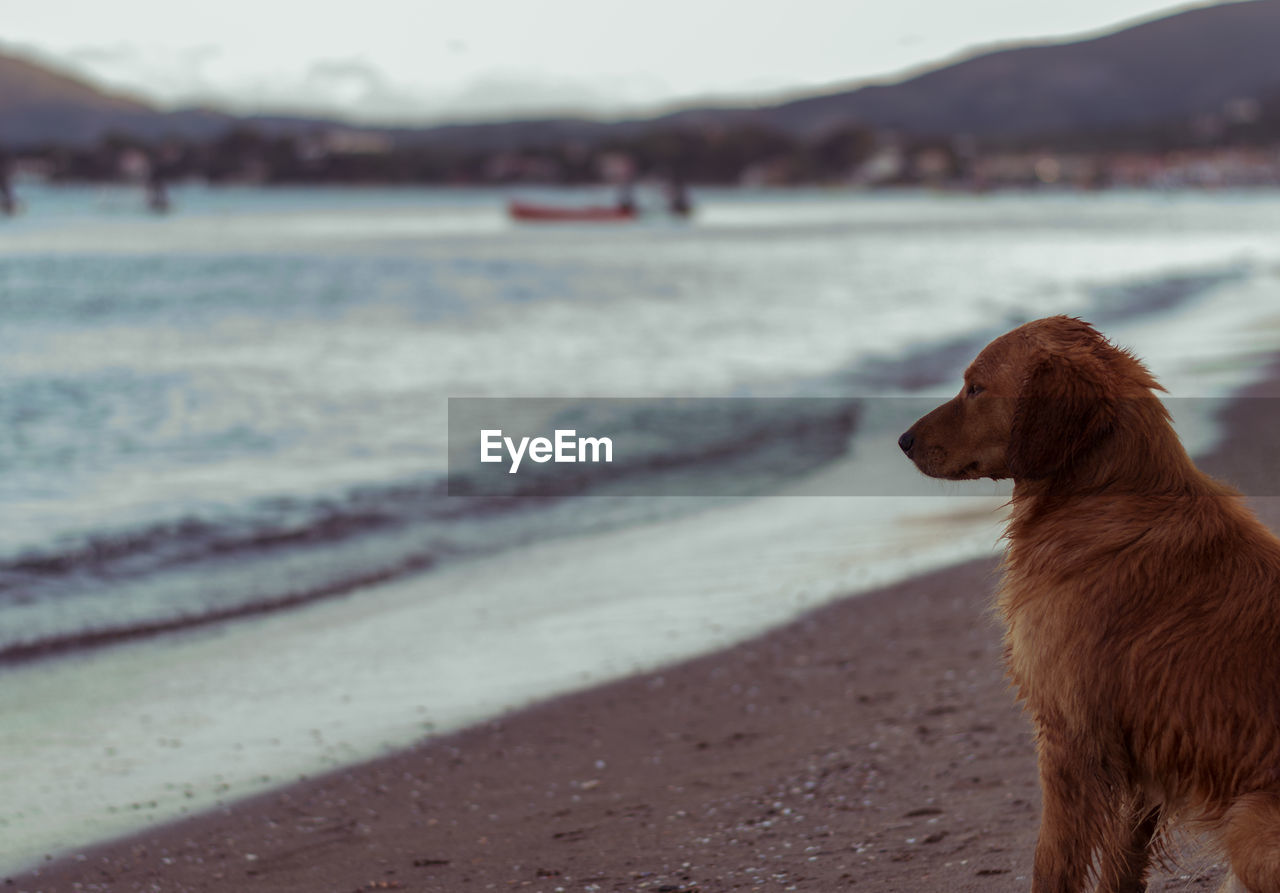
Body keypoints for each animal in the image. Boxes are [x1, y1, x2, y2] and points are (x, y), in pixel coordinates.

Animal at [901, 316, 1280, 885]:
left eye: (975, 388)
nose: (903, 440)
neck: (1103, 497)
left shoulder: (1070, 739)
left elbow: (1052, 863)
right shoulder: (1135, 760)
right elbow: (1122, 864)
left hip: (1251, 822)